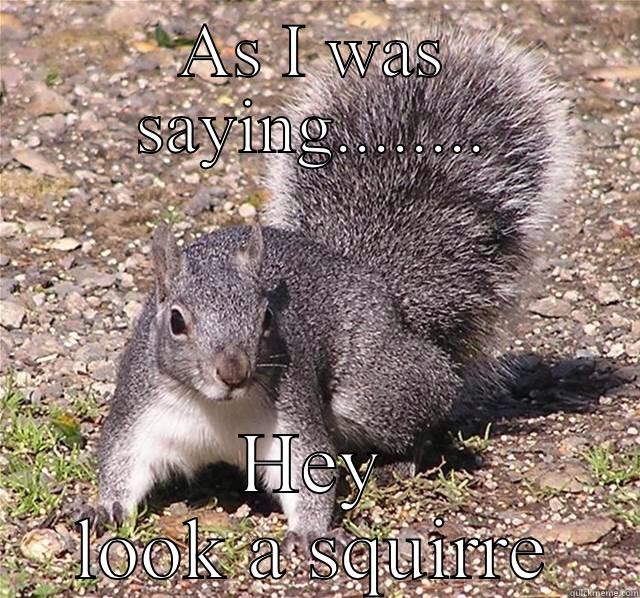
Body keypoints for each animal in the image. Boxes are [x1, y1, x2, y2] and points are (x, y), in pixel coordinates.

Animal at [84, 28, 575, 549]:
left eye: (267, 318)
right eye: (176, 322)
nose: (233, 372)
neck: (216, 410)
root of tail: (376, 285)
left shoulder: (290, 418)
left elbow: (309, 472)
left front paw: (308, 533)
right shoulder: (141, 415)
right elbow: (122, 463)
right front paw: (103, 509)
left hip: (375, 388)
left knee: (427, 410)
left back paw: (403, 460)